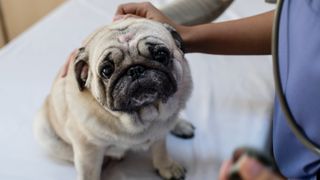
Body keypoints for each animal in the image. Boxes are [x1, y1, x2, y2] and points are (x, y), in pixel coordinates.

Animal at [33, 18, 192, 180]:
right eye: (106, 71)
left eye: (161, 55)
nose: (135, 70)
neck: (141, 117)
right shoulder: (88, 151)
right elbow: (89, 174)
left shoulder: (159, 133)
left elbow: (161, 150)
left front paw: (167, 166)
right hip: (43, 130)